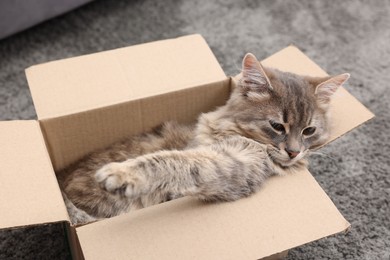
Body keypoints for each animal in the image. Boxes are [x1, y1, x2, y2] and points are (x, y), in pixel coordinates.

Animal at [58, 53, 350, 225]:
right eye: (277, 126)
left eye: (308, 131)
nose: (294, 152)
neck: (227, 128)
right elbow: (171, 158)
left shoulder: (229, 167)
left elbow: (172, 161)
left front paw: (122, 174)